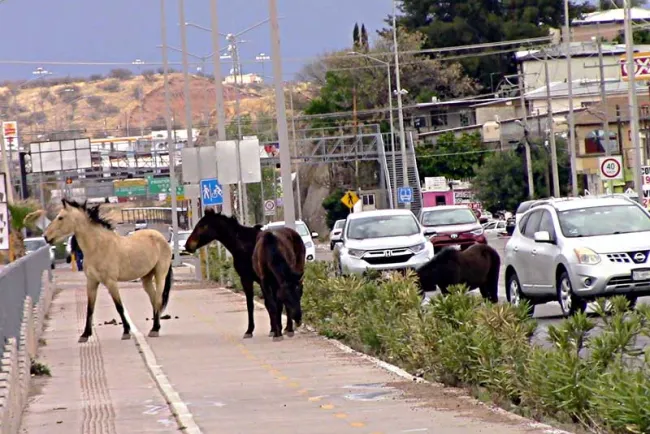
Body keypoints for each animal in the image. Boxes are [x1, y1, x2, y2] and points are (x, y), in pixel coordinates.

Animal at [43, 199, 173, 342]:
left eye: (60, 217)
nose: (46, 237)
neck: (97, 247)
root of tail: (162, 238)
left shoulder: (111, 282)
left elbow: (119, 307)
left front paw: (126, 332)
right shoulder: (91, 282)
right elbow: (90, 308)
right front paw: (85, 335)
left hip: (160, 274)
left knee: (158, 299)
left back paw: (155, 329)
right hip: (146, 278)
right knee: (154, 299)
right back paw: (155, 327)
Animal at [184, 209, 302, 339]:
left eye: (202, 226)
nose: (187, 245)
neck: (243, 245)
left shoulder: (253, 279)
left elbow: (264, 303)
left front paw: (267, 330)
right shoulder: (252, 279)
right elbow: (257, 304)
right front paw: (262, 330)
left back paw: (288, 328)